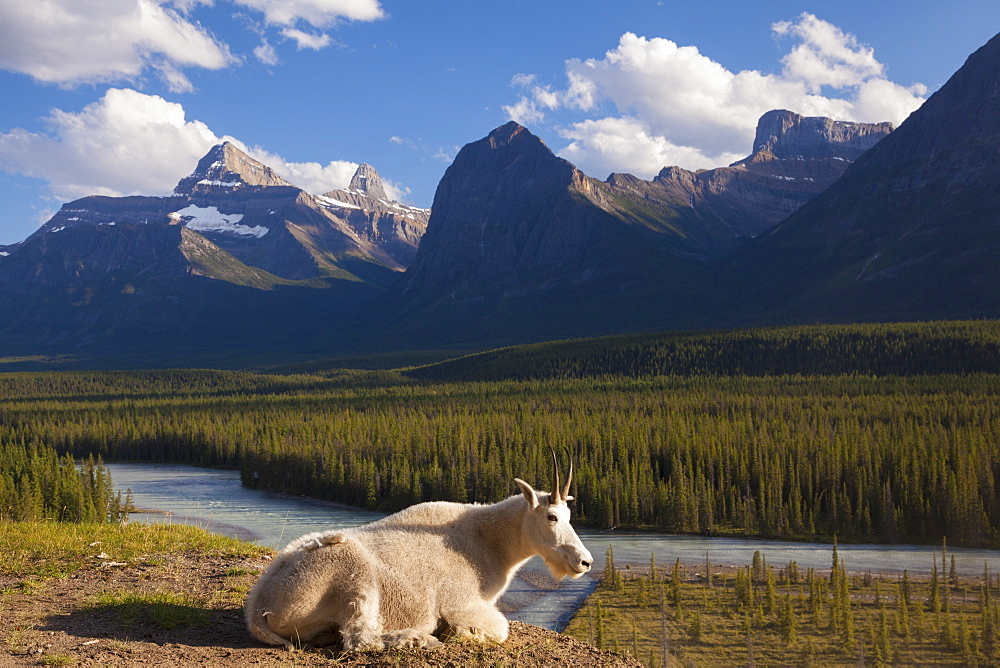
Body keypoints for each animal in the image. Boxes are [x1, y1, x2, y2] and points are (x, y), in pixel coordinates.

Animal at [247, 452, 592, 648]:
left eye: (569, 515)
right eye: (552, 517)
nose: (584, 562)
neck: (490, 543)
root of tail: (258, 607)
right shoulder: (460, 603)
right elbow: (500, 629)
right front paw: (460, 633)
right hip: (354, 576)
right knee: (361, 640)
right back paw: (419, 638)